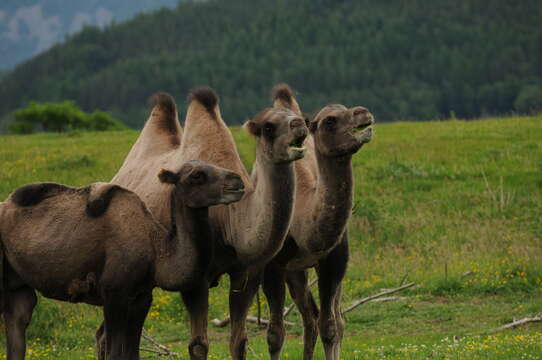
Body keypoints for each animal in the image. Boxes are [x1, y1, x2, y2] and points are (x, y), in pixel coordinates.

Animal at [0, 161, 245, 360]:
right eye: (197, 175)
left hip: (18, 287)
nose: (238, 181)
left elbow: (132, 353)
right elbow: (115, 353)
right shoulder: (114, 294)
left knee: (18, 325)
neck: (155, 252)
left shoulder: (141, 297)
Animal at [264, 83, 376, 358]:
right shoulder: (272, 266)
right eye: (330, 120)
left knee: (327, 318)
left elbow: (331, 327)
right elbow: (275, 334)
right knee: (309, 316)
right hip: (294, 271)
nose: (363, 112)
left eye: (347, 107)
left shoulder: (334, 261)